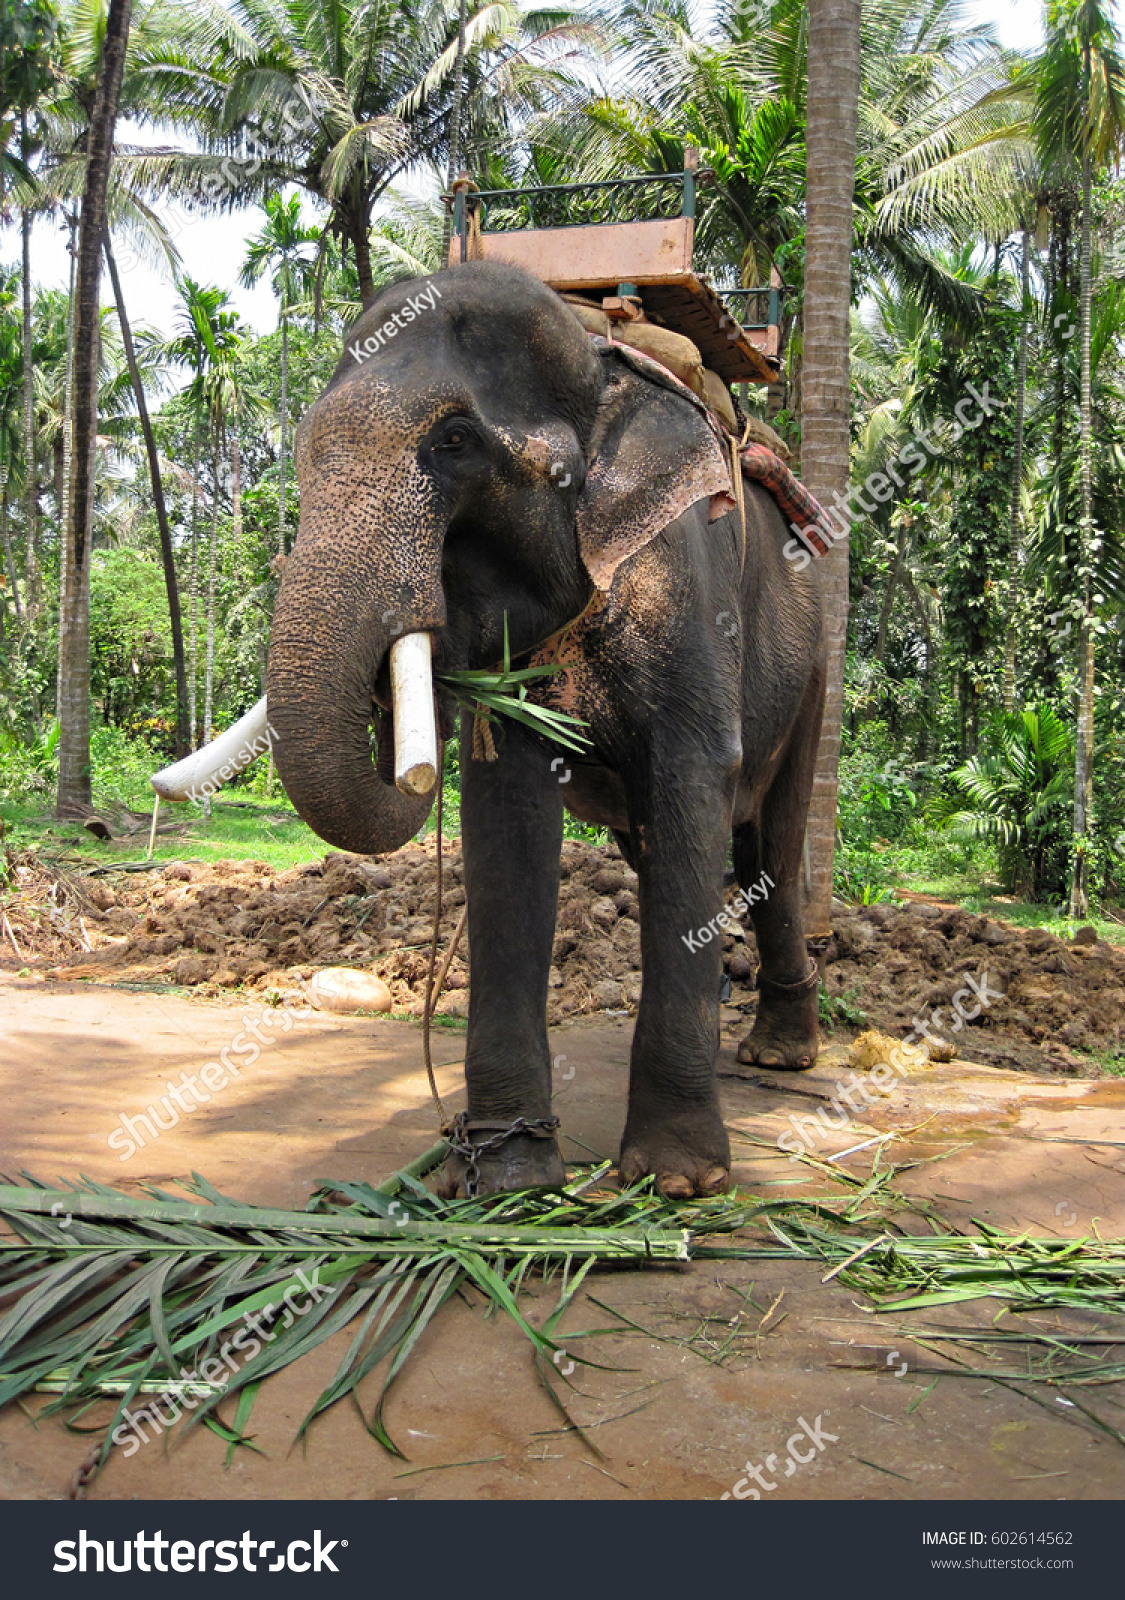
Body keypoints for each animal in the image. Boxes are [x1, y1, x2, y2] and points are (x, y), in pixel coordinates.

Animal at [267, 256, 825, 1196]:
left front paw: (675, 1182)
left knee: (770, 839)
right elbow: (509, 808)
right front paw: (509, 1178)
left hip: (818, 662)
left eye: (454, 442)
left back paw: (780, 1058)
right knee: (671, 845)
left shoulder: (685, 570)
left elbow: (692, 775)